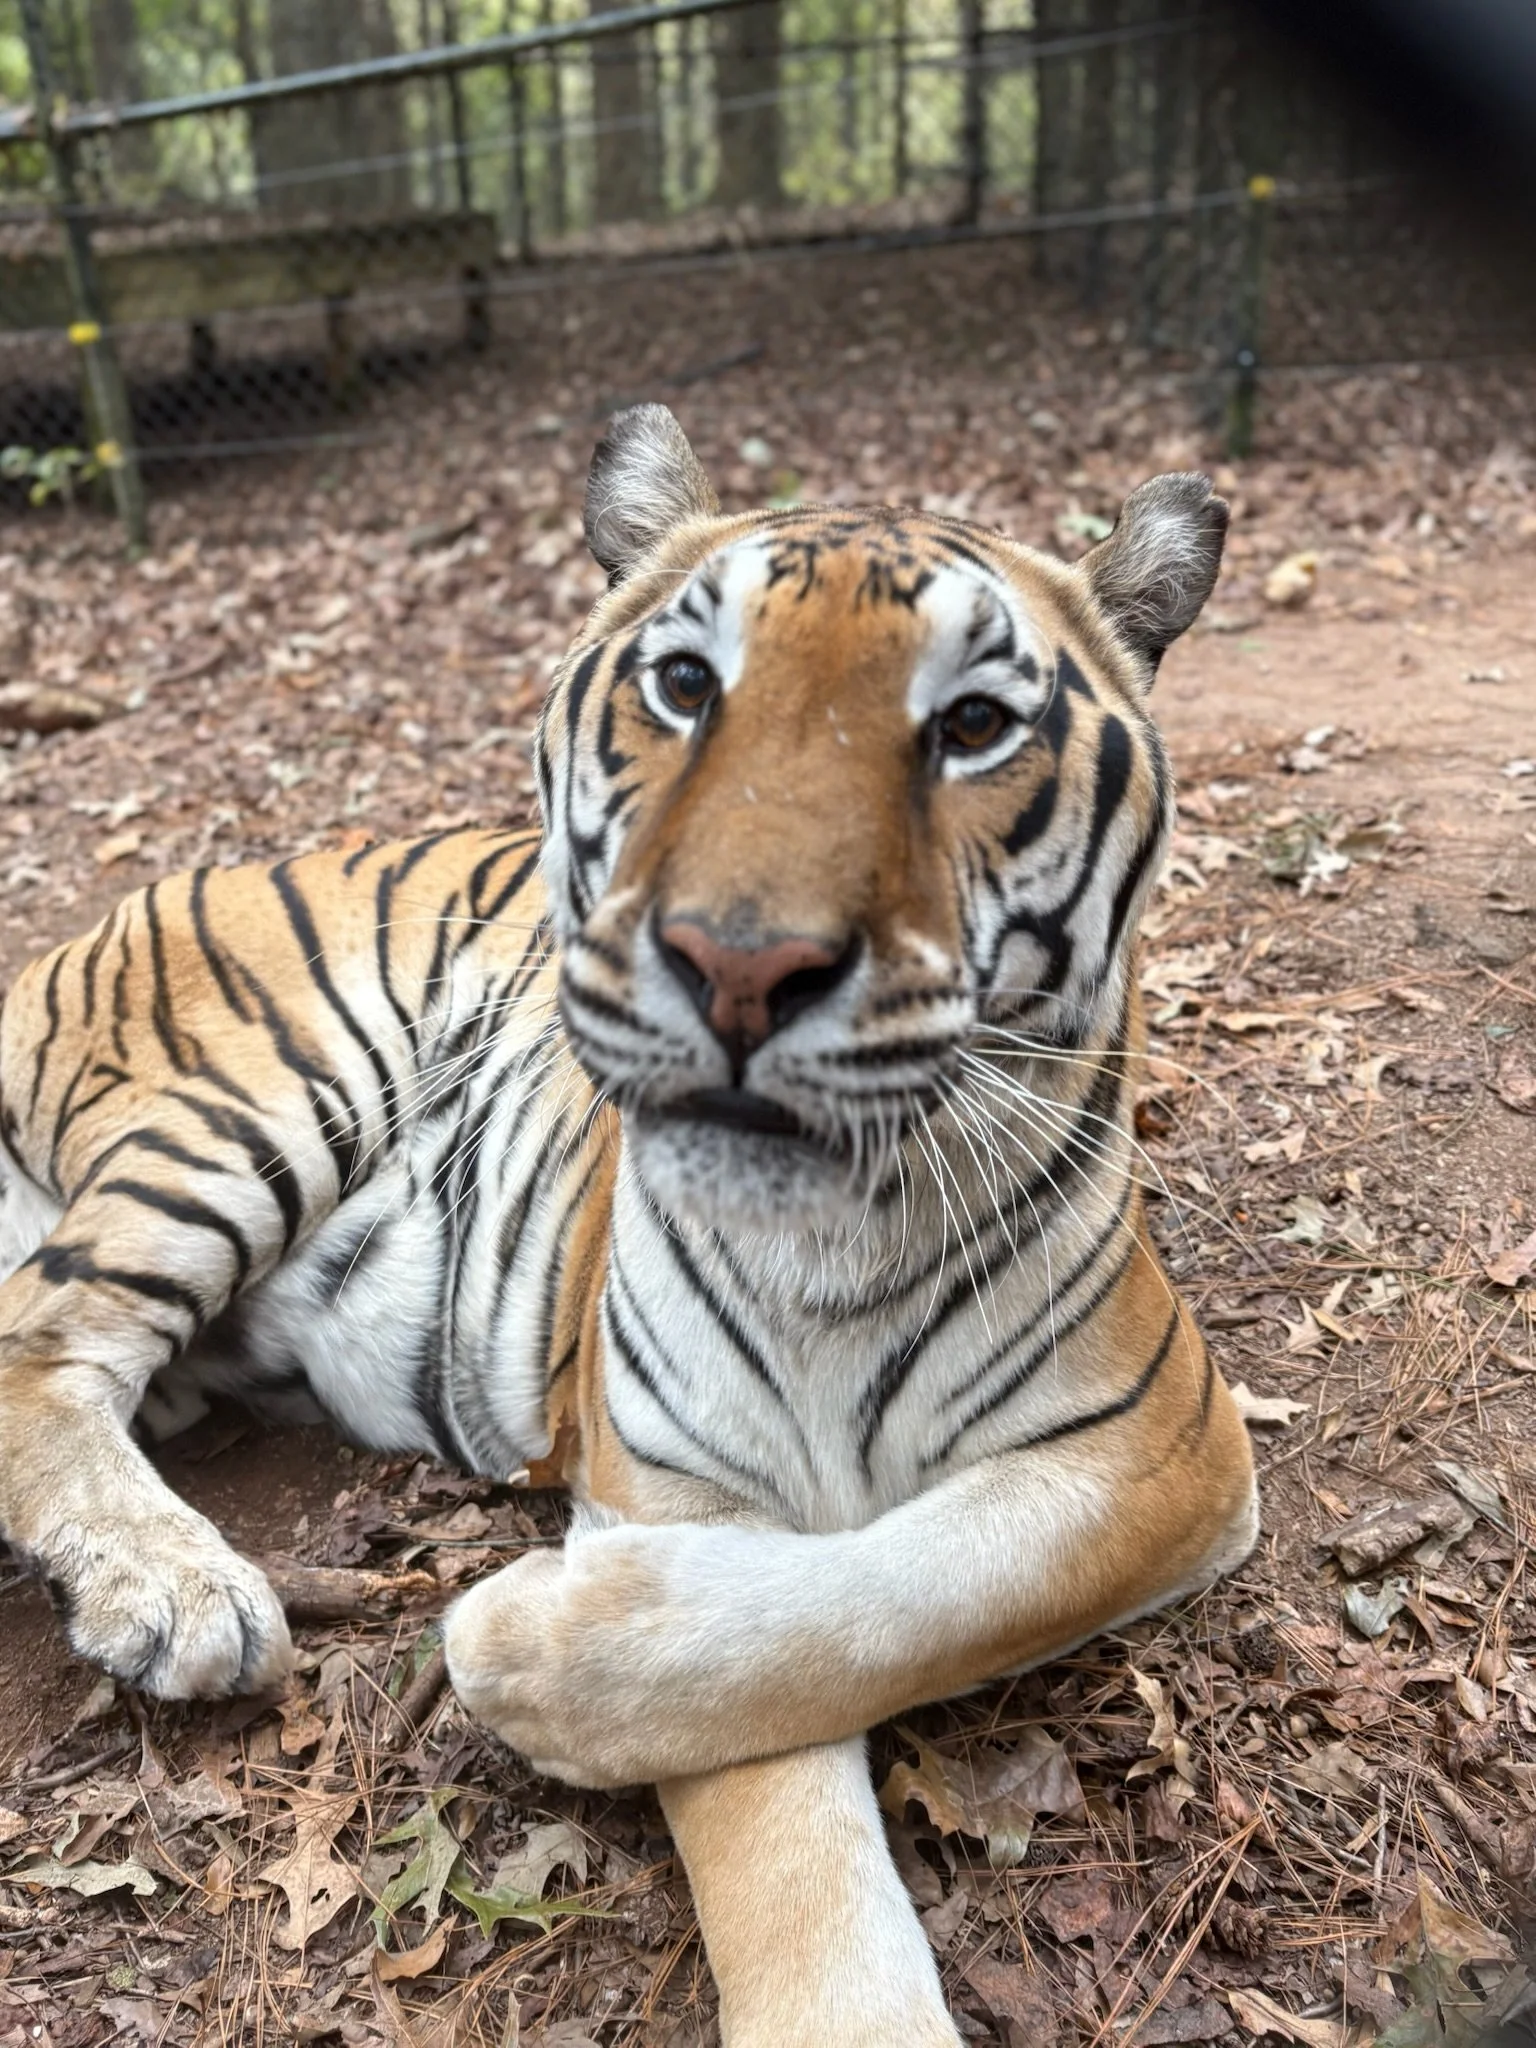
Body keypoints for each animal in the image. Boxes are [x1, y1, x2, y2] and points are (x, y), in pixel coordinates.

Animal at [0, 404, 1257, 2048]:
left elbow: (917, 1587)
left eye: (975, 723)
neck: (832, 1240)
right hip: (254, 1103)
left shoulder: (1168, 1446)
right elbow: (785, 1806)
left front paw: (513, 1645)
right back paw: (179, 1592)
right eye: (687, 684)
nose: (740, 961)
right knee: (40, 1344)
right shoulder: (680, 1490)